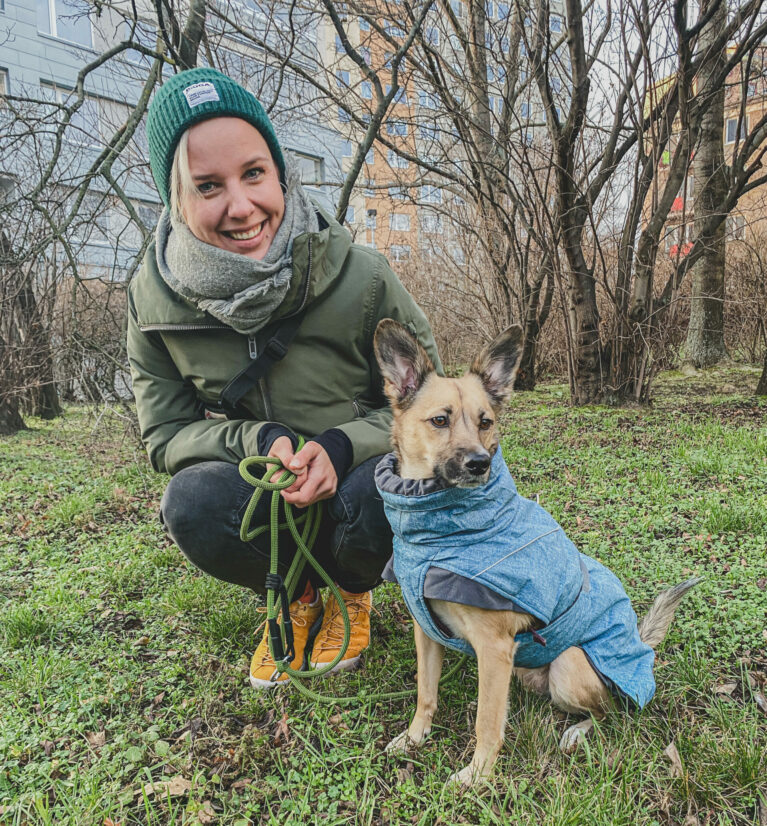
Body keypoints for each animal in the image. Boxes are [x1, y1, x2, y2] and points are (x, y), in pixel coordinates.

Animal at [372, 316, 704, 784]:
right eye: (440, 420)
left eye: (486, 421)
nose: (480, 463)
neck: (442, 532)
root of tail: (640, 642)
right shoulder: (427, 631)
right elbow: (426, 693)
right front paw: (415, 737)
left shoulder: (494, 649)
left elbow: (486, 722)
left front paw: (476, 776)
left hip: (569, 665)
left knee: (612, 712)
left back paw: (578, 731)